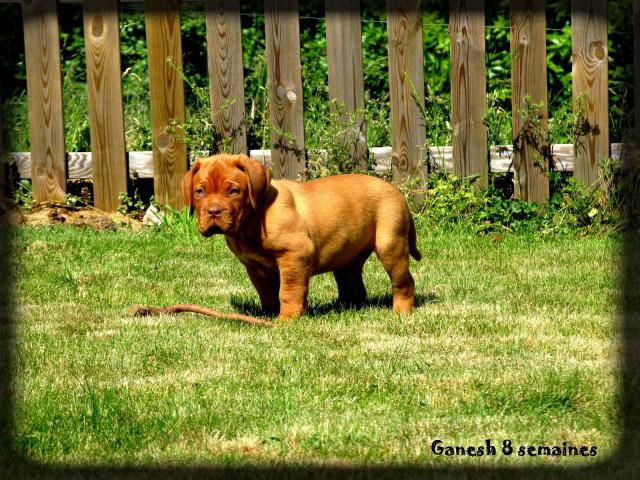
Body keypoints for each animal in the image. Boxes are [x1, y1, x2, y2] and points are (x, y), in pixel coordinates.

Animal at [181, 154, 420, 318]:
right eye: (199, 192)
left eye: (234, 191)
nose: (213, 212)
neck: (251, 221)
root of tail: (397, 191)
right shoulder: (255, 267)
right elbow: (267, 293)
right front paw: (269, 316)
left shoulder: (294, 256)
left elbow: (288, 291)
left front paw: (287, 319)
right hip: (348, 257)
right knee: (352, 284)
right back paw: (344, 308)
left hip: (390, 245)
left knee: (403, 281)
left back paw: (401, 311)